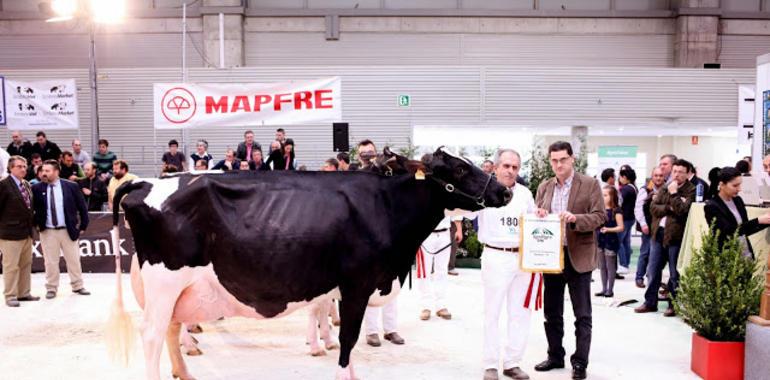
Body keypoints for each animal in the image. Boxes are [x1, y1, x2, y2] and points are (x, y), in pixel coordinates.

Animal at [105, 148, 508, 380]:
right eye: (458, 170)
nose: (504, 190)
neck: (386, 205)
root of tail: (146, 183)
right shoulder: (356, 284)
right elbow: (347, 338)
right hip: (164, 282)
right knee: (153, 334)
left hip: (178, 289)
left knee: (172, 330)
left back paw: (184, 372)